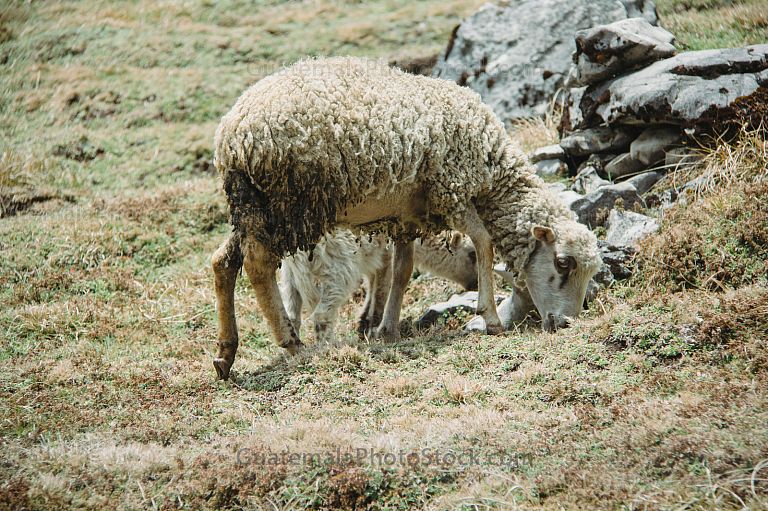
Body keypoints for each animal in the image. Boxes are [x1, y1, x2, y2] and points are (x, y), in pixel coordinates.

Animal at [279, 230, 477, 344]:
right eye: (472, 254)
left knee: (290, 315)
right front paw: (373, 324)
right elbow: (382, 286)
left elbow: (373, 282)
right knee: (322, 314)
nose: (475, 285)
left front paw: (364, 322)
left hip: (289, 274)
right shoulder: (385, 252)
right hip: (339, 269)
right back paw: (327, 348)